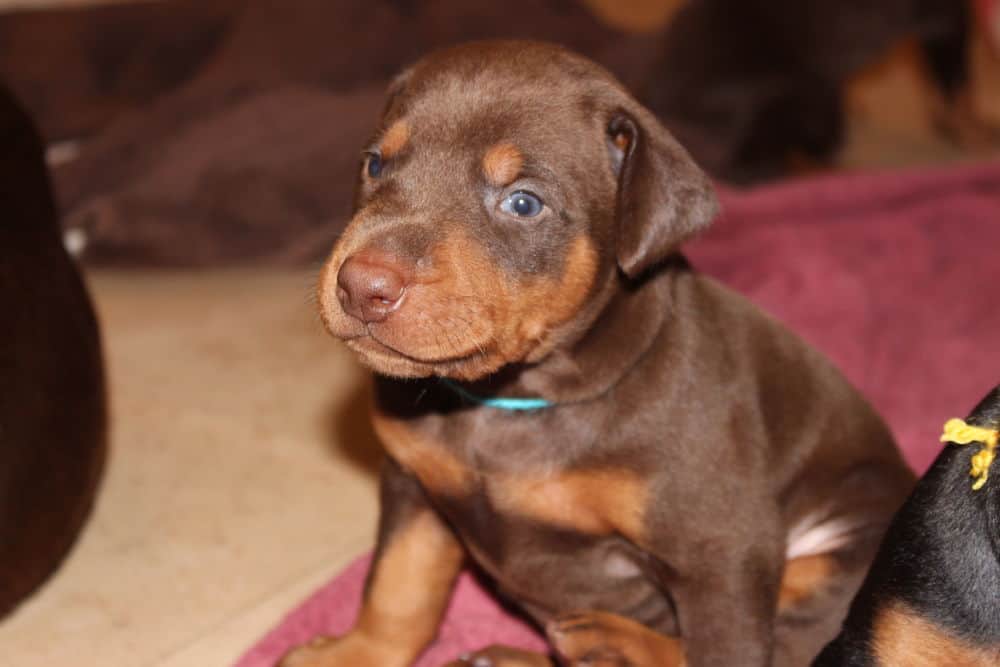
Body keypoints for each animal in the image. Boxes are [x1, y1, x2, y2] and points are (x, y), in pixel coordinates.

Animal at [286, 41, 916, 667]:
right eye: (375, 165)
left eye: (523, 202)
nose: (361, 286)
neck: (509, 401)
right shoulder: (413, 481)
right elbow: (400, 585)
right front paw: (354, 653)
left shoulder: (722, 545)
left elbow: (726, 648)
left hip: (840, 558)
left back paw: (607, 639)